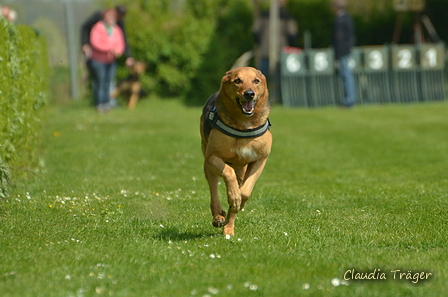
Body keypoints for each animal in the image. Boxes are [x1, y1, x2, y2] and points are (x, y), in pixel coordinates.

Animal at [200, 67, 272, 236]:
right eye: (237, 81)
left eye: (256, 81)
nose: (249, 93)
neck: (243, 124)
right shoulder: (213, 157)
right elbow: (228, 172)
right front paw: (233, 196)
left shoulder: (260, 159)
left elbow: (245, 191)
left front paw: (238, 201)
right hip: (208, 163)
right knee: (213, 189)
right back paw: (219, 216)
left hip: (242, 169)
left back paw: (228, 227)